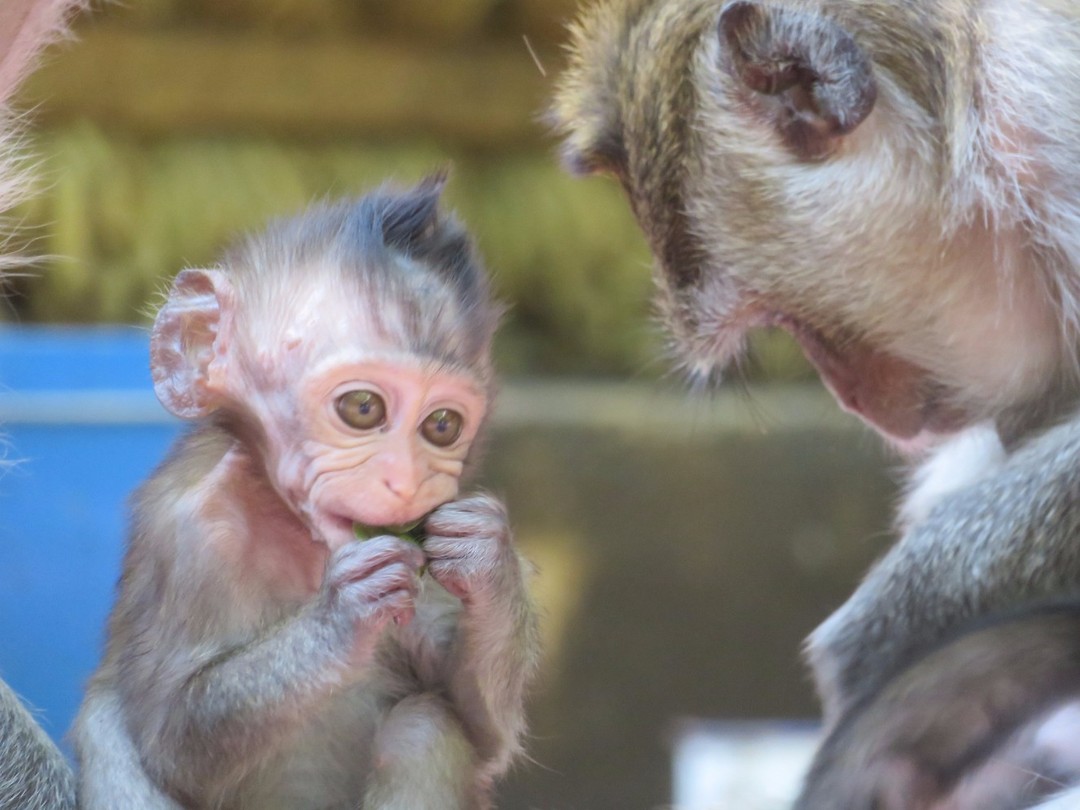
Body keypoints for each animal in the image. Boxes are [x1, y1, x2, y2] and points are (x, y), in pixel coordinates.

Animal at [69, 177, 540, 810]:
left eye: (442, 425)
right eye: (363, 408)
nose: (406, 481)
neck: (297, 532)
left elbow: (484, 730)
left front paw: (487, 555)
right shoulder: (188, 532)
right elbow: (173, 743)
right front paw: (342, 615)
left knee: (424, 726)